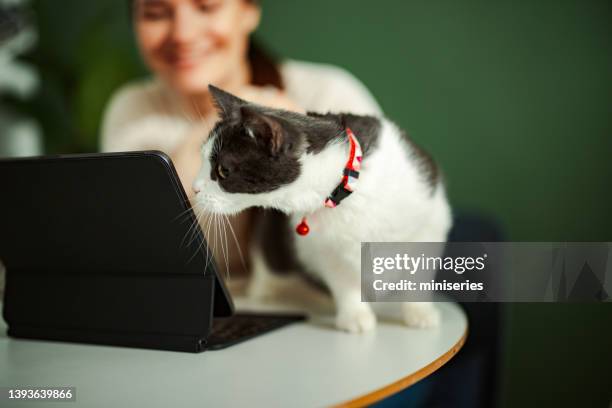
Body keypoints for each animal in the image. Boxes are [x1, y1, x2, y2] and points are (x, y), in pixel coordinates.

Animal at [194, 85, 452, 332]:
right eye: (203, 160)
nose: (194, 188)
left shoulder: (430, 220)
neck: (346, 186)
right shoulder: (326, 247)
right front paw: (355, 317)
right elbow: (343, 280)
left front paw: (419, 312)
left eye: (223, 171)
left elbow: (419, 271)